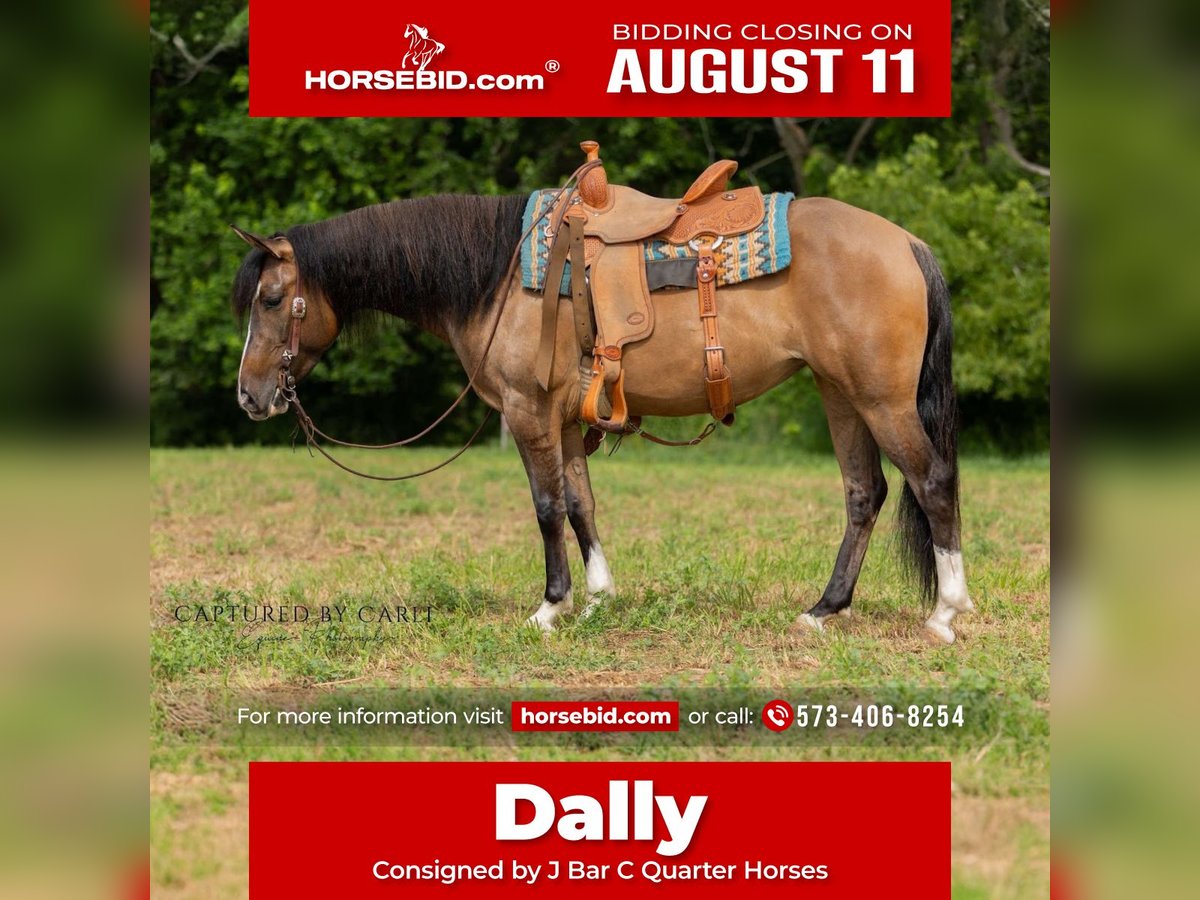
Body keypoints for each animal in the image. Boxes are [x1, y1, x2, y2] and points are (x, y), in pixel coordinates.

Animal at [230, 189, 974, 644]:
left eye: (271, 299)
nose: (249, 397)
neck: (498, 278)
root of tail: (907, 242)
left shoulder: (529, 413)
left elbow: (546, 508)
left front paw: (550, 605)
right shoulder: (564, 421)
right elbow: (581, 504)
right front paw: (596, 596)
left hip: (880, 399)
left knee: (933, 481)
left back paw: (945, 612)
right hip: (839, 393)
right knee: (864, 494)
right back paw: (824, 609)